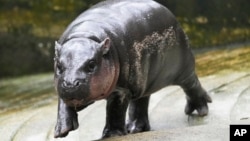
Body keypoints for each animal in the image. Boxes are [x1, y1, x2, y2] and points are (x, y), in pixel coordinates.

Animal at [53, 0, 212, 139]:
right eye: (59, 65)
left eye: (92, 64)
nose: (71, 84)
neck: (85, 36)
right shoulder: (61, 85)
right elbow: (62, 104)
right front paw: (61, 131)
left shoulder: (122, 90)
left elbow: (115, 111)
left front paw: (111, 135)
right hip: (144, 81)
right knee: (141, 102)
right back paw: (134, 129)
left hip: (183, 68)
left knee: (192, 84)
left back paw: (200, 110)